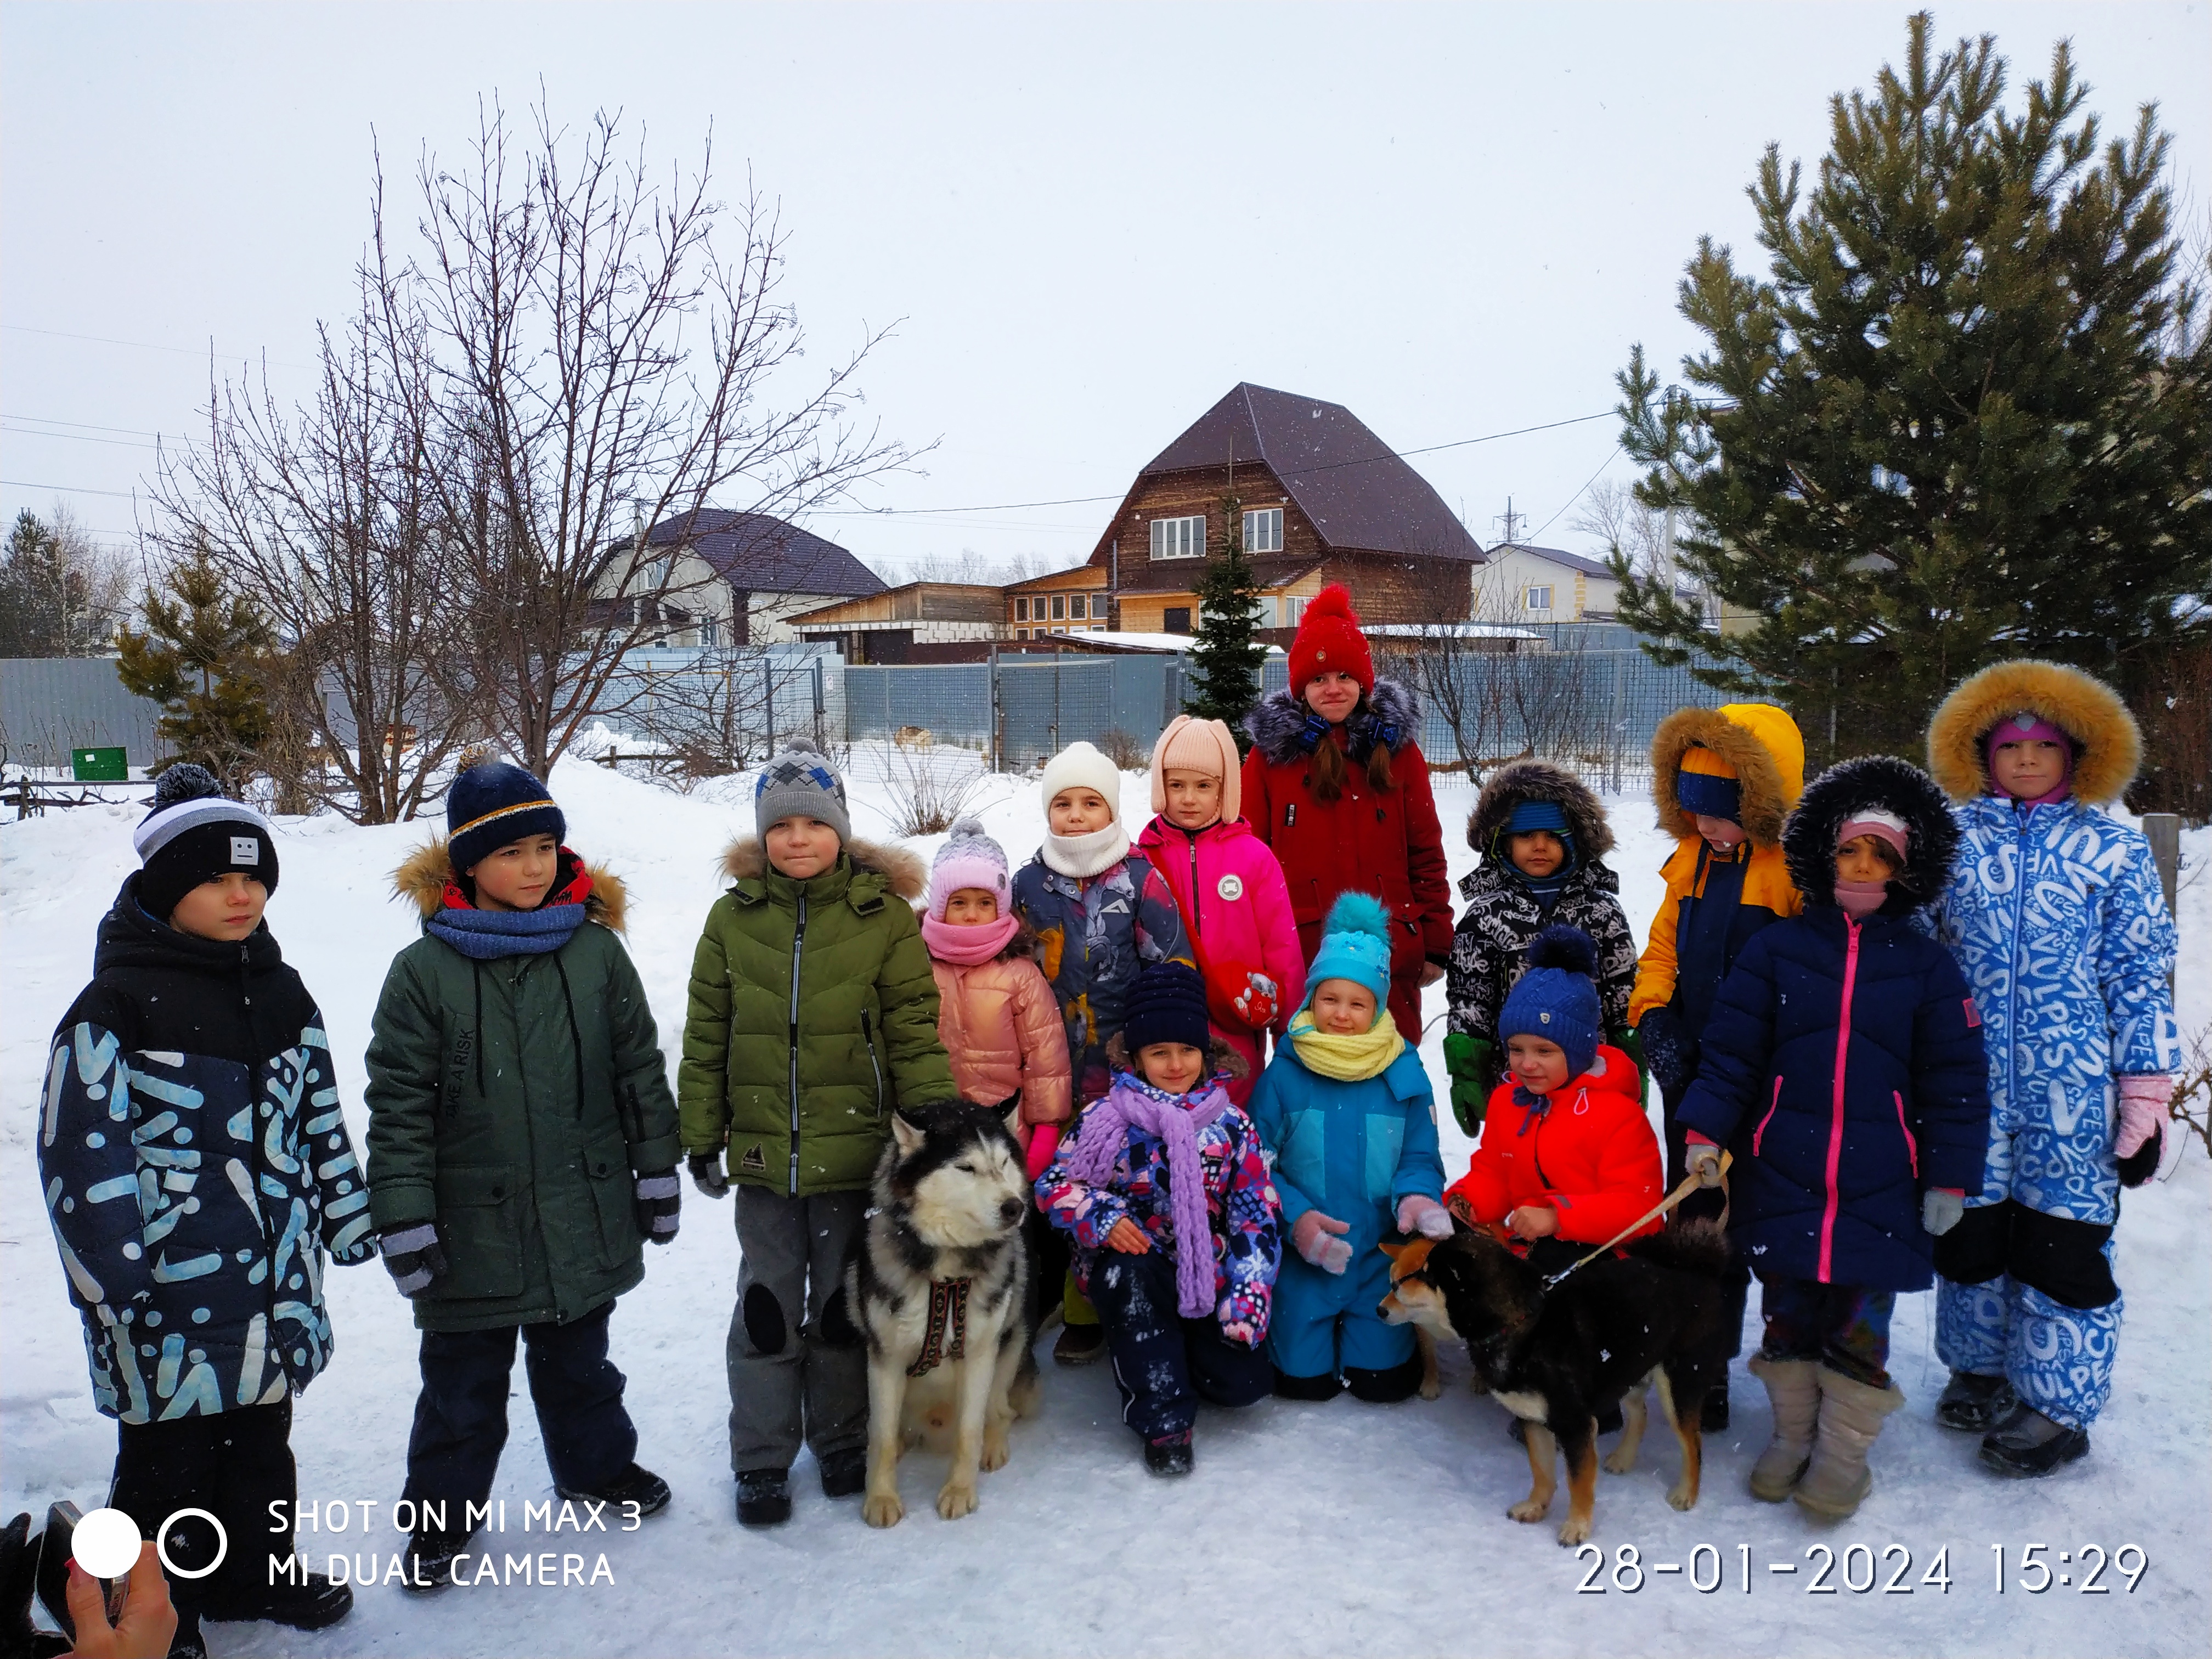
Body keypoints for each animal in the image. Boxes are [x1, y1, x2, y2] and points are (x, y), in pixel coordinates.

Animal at [849, 1106, 1048, 1531]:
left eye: (1003, 1164)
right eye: (966, 1167)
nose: (1014, 1207)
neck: (945, 1277)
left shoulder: (979, 1353)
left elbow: (970, 1432)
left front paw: (960, 1492)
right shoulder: (885, 1358)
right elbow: (881, 1437)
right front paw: (881, 1498)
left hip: (1013, 1337)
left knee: (999, 1411)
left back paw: (994, 1445)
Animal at [1380, 1221, 1725, 1548]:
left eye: (1427, 1274)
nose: (1389, 1294)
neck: (1519, 1325)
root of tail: (1692, 1272)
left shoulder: (1576, 1424)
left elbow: (1578, 1482)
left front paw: (1577, 1527)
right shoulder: (1532, 1419)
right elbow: (1542, 1472)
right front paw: (1536, 1507)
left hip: (1678, 1385)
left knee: (1692, 1444)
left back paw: (1687, 1493)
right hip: (1628, 1368)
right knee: (1641, 1414)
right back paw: (1624, 1459)